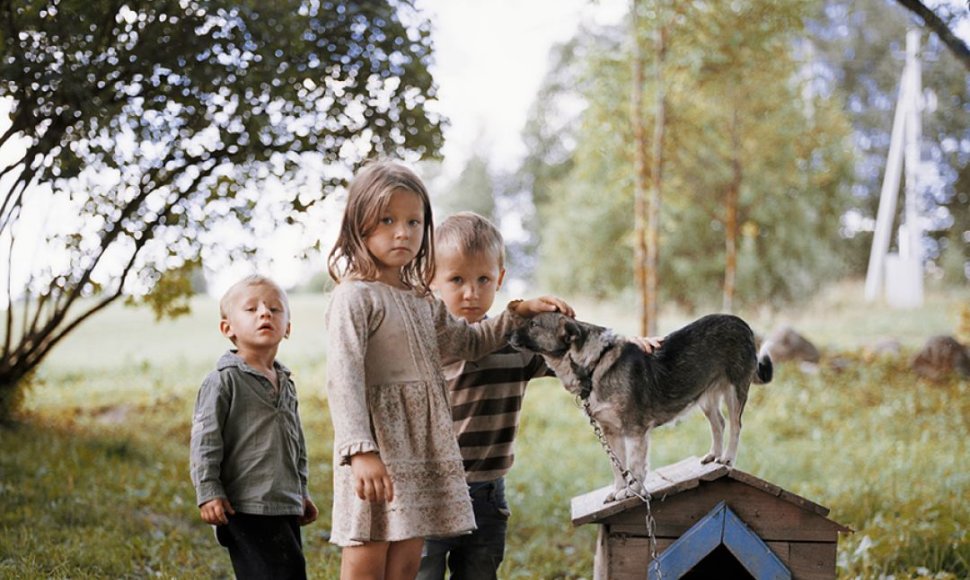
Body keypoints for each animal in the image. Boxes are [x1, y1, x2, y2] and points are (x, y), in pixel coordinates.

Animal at [506, 310, 772, 500]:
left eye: (533, 324)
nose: (507, 334)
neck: (594, 365)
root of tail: (742, 323)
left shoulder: (635, 431)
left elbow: (634, 466)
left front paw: (632, 491)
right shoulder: (611, 432)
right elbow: (618, 467)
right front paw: (618, 491)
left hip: (734, 391)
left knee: (736, 426)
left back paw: (727, 459)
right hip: (705, 396)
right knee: (719, 423)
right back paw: (714, 455)